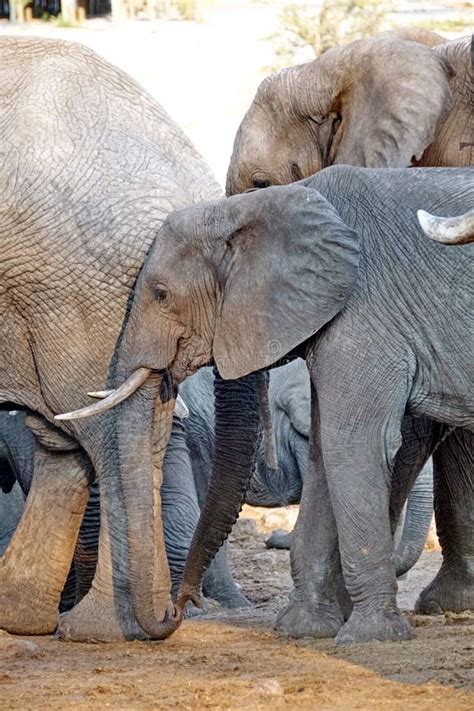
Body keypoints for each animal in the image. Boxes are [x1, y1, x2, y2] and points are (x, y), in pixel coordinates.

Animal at [64, 165, 474, 644]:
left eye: (161, 294)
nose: (178, 610)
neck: (258, 206)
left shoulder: (365, 313)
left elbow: (352, 443)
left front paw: (369, 636)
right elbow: (324, 452)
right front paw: (303, 629)